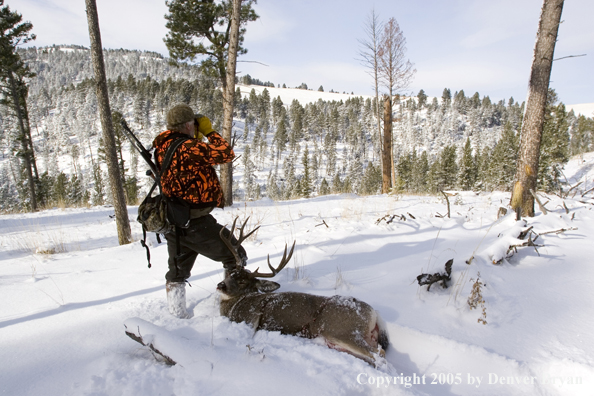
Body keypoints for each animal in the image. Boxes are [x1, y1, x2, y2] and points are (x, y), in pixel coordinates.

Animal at [217, 218, 388, 364]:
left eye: (242, 281)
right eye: (231, 273)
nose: (220, 285)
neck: (237, 302)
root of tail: (374, 313)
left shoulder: (250, 318)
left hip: (342, 331)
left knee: (380, 355)